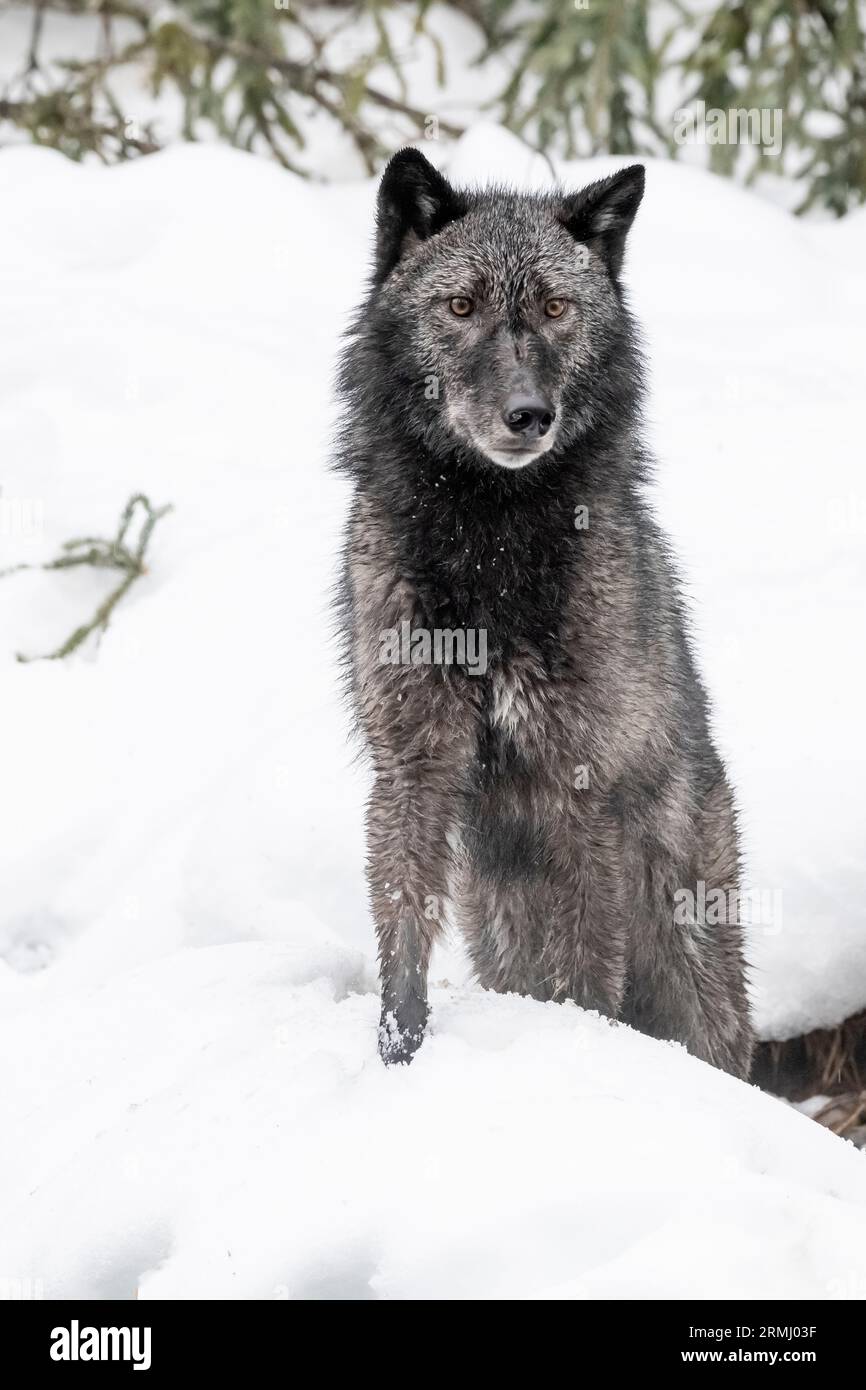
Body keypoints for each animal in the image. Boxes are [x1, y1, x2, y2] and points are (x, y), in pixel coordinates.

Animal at [335, 148, 753, 1078]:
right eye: (461, 306)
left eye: (557, 308)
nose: (529, 414)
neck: (488, 540)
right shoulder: (413, 760)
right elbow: (402, 927)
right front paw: (397, 1053)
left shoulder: (577, 788)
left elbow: (589, 970)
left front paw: (580, 1045)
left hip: (687, 943)